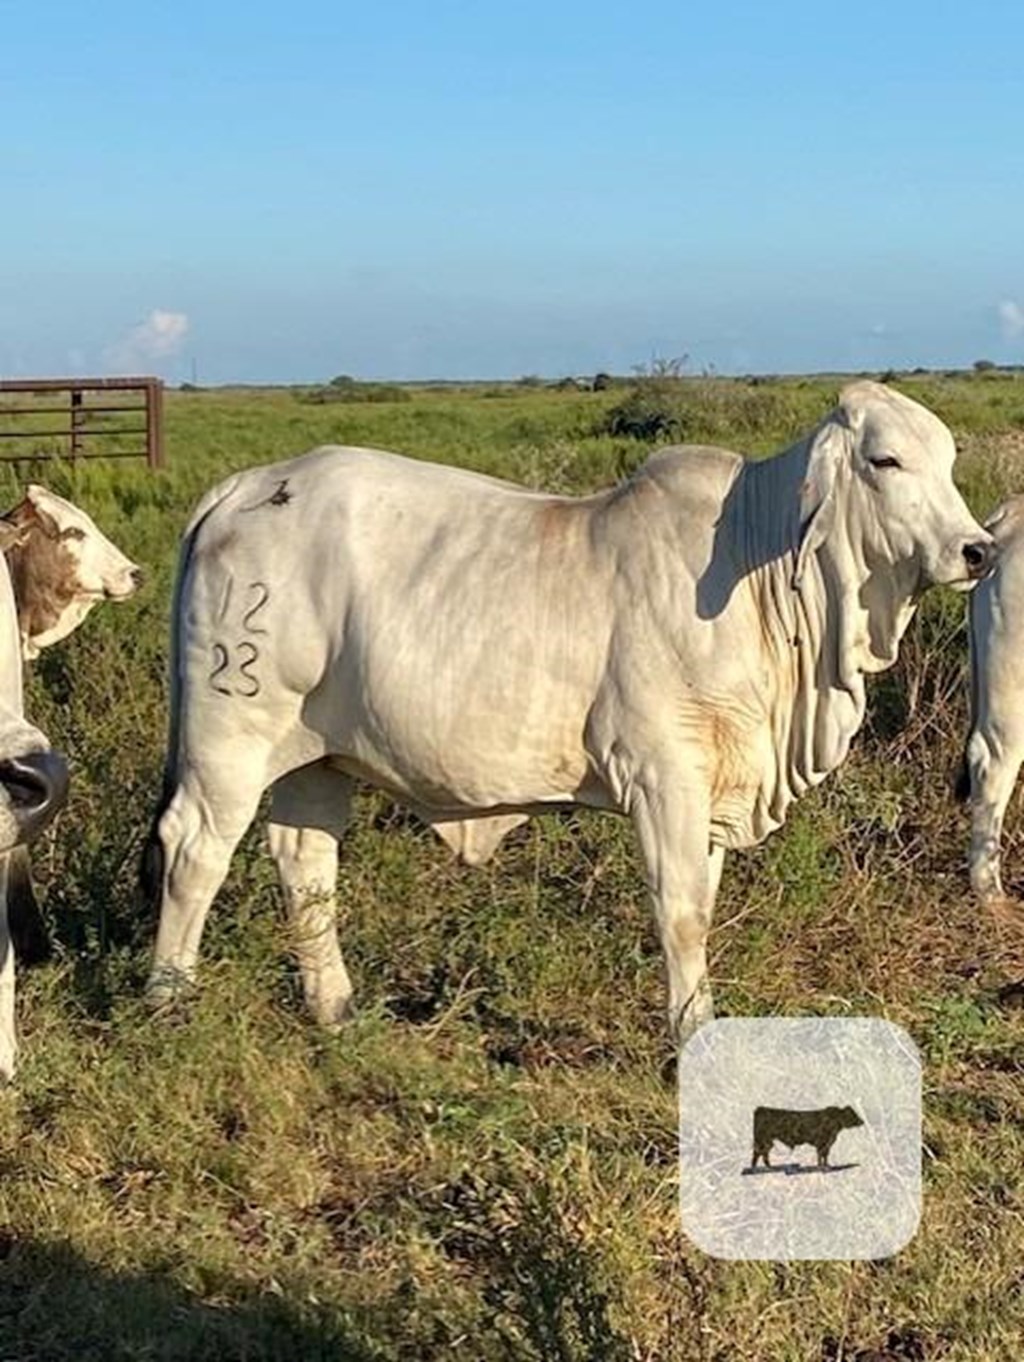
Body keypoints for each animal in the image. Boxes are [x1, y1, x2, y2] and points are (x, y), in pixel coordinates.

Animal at [142, 384, 991, 1040]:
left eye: (949, 461)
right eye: (885, 461)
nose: (976, 549)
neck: (764, 574)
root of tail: (246, 485)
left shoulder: (715, 785)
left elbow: (704, 901)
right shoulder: (662, 774)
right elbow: (682, 910)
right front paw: (691, 1031)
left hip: (315, 755)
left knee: (306, 860)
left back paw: (335, 1007)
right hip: (231, 734)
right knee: (195, 849)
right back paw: (169, 1003)